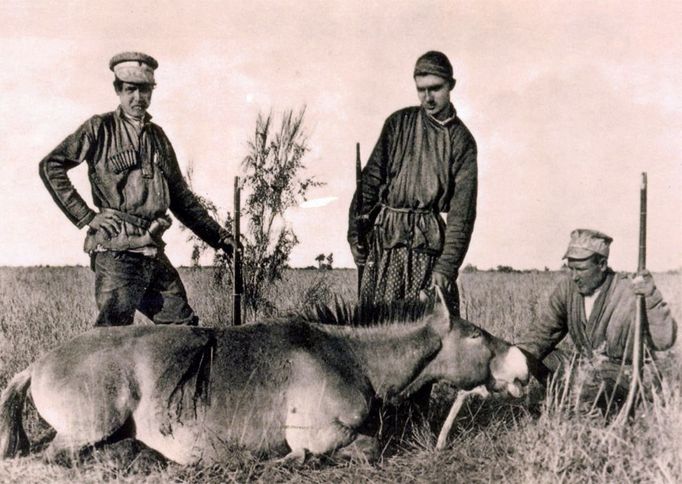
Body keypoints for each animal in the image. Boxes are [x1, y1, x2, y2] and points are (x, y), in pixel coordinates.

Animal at [0, 288, 524, 466]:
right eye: (476, 334)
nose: (526, 364)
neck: (347, 354)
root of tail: (37, 364)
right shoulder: (319, 434)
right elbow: (364, 448)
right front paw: (290, 463)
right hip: (90, 426)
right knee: (56, 457)